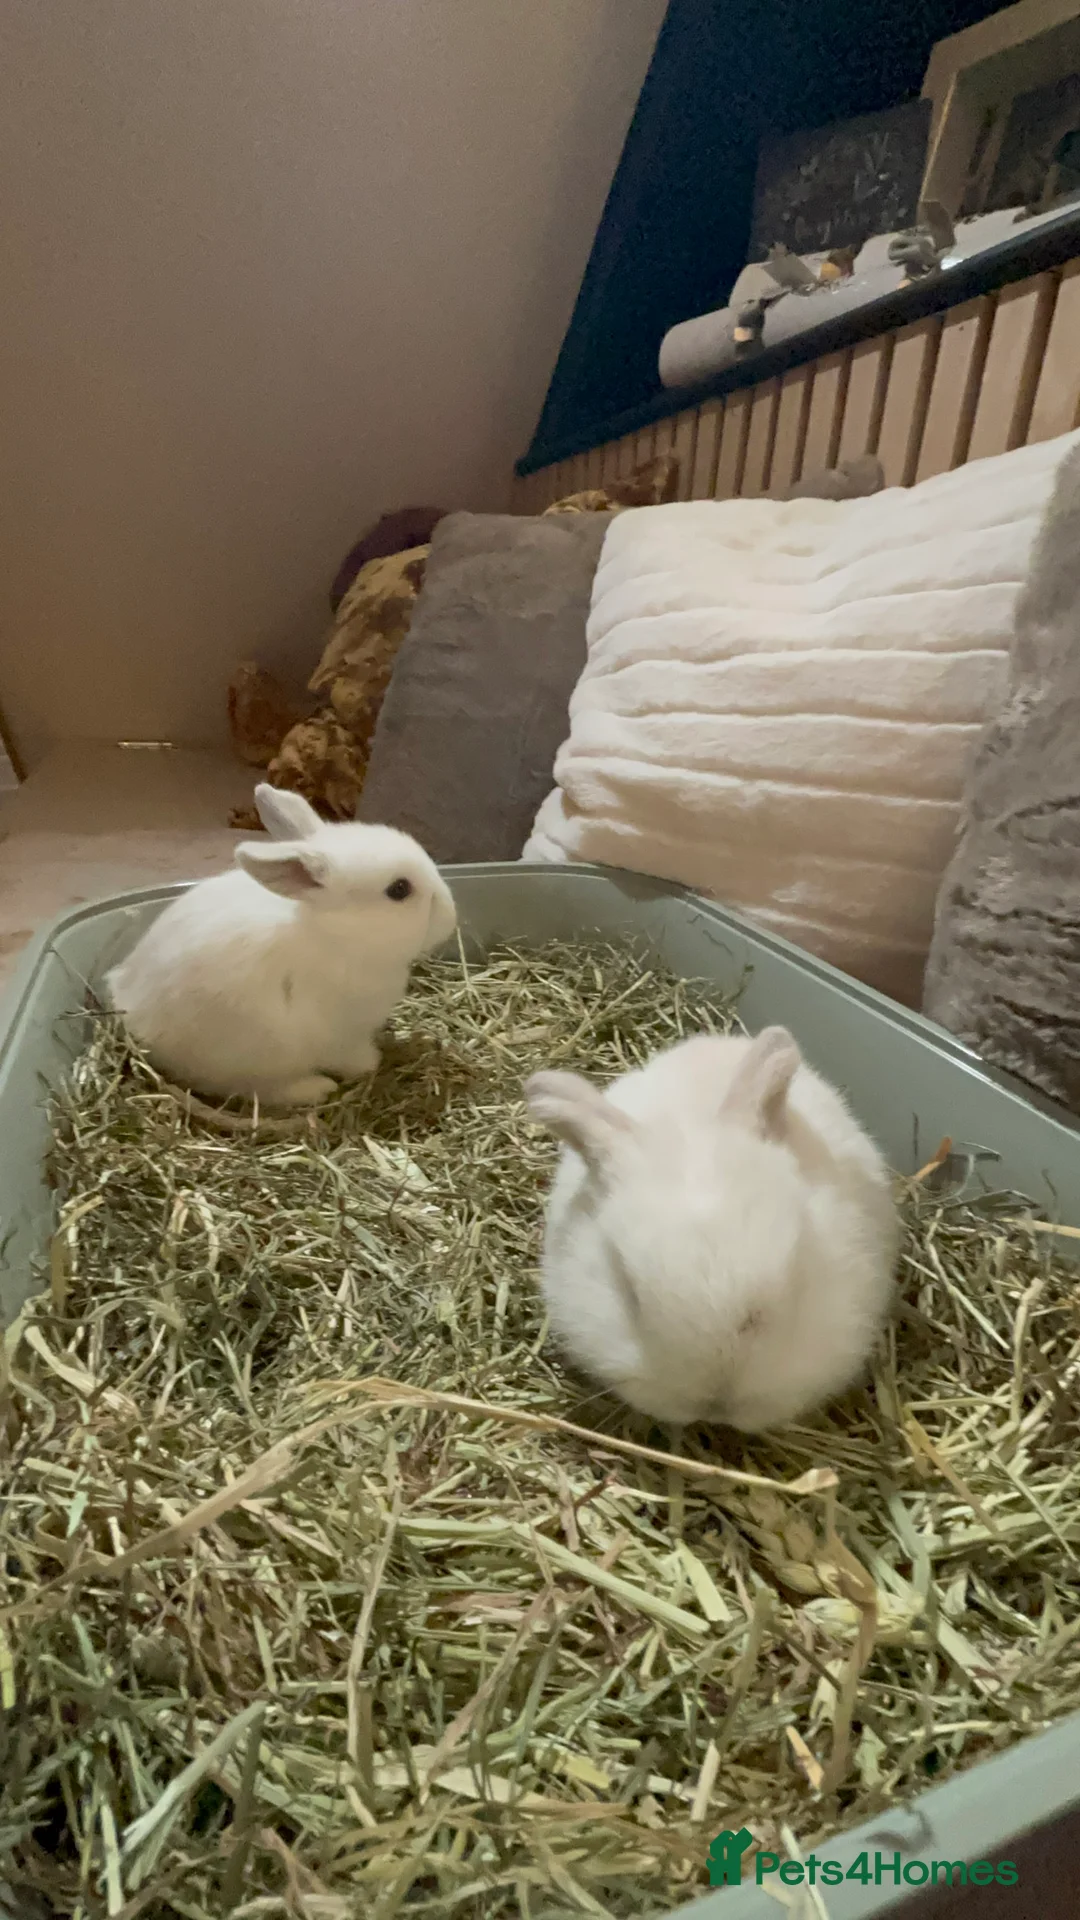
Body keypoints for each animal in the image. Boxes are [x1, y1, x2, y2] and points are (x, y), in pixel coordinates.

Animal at [104, 783, 458, 1108]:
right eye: (399, 889)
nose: (451, 915)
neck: (335, 934)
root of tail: (130, 1017)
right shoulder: (342, 1035)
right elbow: (352, 1057)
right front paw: (371, 1064)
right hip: (255, 1057)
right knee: (255, 1090)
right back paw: (316, 1089)